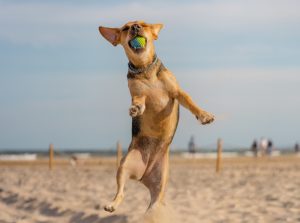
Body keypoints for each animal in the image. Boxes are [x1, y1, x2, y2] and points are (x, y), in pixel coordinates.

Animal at [98, 20, 213, 213]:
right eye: (125, 28)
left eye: (143, 24)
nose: (135, 27)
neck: (145, 69)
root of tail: (143, 175)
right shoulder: (138, 95)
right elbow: (139, 102)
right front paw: (135, 109)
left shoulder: (177, 92)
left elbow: (191, 103)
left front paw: (204, 115)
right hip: (124, 166)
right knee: (121, 192)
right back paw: (112, 204)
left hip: (161, 181)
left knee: (155, 202)